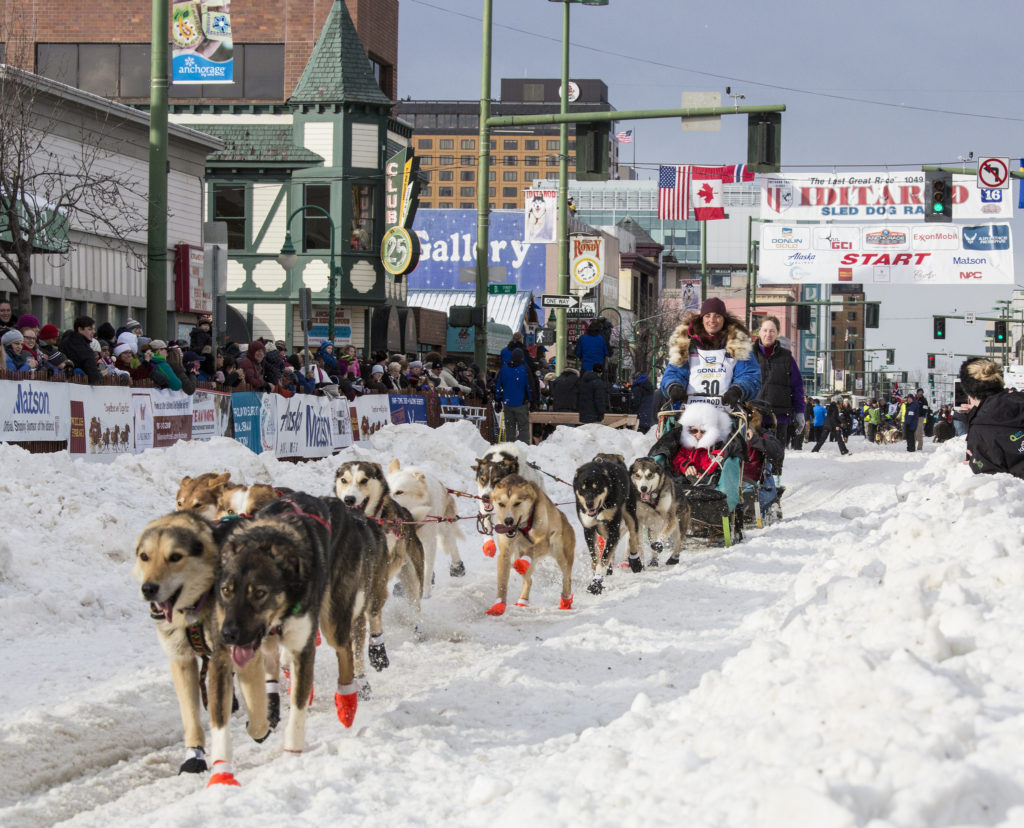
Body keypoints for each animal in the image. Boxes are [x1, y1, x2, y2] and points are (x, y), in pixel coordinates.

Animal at [133, 509, 272, 773]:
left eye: (175, 557)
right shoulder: (181, 660)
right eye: (145, 556)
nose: (148, 588)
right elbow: (190, 715)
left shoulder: (229, 655)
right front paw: (194, 755)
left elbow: (251, 716)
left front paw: (258, 728)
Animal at [214, 497, 389, 781]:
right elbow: (225, 718)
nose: (229, 633)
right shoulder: (228, 657)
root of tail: (339, 505)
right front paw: (222, 770)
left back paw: (347, 703)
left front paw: (291, 754)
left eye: (260, 593)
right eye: (226, 590)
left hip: (333, 620)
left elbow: (297, 708)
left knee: (345, 652)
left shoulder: (302, 648)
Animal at [385, 456, 466, 589]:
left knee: (451, 544)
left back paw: (457, 567)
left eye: (399, 492)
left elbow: (426, 571)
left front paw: (426, 590)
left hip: (444, 531)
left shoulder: (429, 541)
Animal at [483, 470, 573, 614]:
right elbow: (502, 582)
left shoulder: (544, 542)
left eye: (517, 503)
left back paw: (566, 601)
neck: (522, 528)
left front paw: (523, 561)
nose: (508, 520)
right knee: (529, 580)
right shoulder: (505, 553)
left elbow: (532, 550)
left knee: (566, 578)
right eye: (501, 504)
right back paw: (522, 601)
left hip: (562, 556)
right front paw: (499, 605)